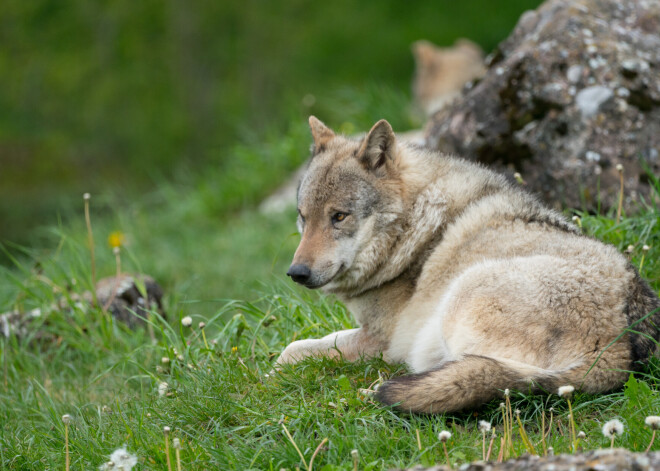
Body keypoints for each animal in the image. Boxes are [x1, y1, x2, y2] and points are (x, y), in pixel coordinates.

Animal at [278, 115, 660, 412]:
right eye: (303, 218)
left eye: (339, 217)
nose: (296, 273)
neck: (415, 225)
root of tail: (618, 350)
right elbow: (301, 344)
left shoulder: (379, 340)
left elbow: (293, 351)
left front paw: (273, 372)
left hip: (462, 296)